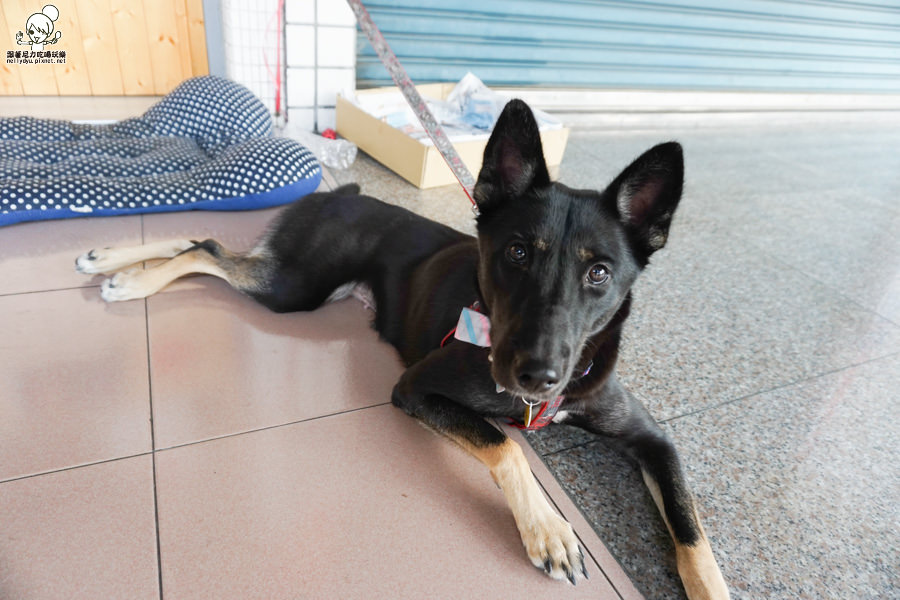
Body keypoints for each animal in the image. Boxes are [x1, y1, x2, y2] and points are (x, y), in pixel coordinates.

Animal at [74, 101, 728, 596]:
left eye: (599, 273)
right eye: (517, 252)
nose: (537, 375)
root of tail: (342, 193)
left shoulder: (652, 439)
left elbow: (692, 531)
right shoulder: (416, 388)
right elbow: (505, 448)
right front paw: (548, 527)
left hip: (288, 273)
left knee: (200, 240)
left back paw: (109, 260)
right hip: (293, 288)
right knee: (205, 250)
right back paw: (128, 280)